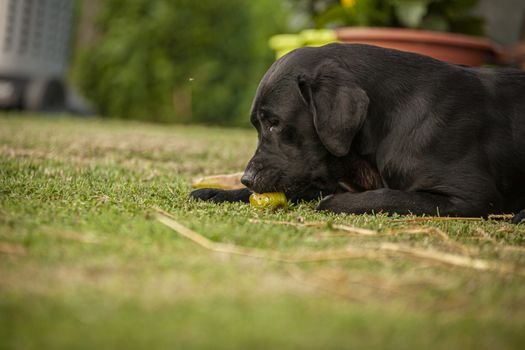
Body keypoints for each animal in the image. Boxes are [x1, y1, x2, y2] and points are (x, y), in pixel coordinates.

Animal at [191, 43, 524, 223]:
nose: (246, 178)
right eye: (257, 125)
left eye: (274, 123)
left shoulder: (470, 196)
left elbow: (379, 197)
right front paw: (217, 192)